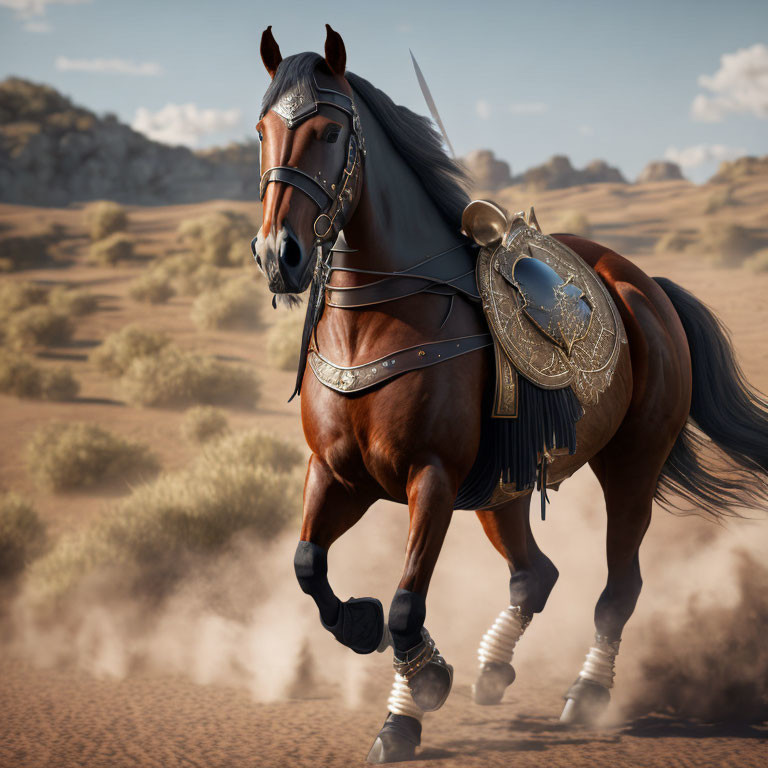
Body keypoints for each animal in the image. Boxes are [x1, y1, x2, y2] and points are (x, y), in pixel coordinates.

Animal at [254, 22, 768, 760]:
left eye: (327, 131)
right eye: (262, 130)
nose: (279, 255)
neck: (380, 319)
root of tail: (649, 288)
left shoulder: (432, 478)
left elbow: (407, 604)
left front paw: (415, 699)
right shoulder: (336, 474)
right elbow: (307, 568)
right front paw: (364, 628)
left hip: (631, 466)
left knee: (618, 588)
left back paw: (586, 694)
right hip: (508, 488)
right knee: (536, 573)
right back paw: (492, 670)